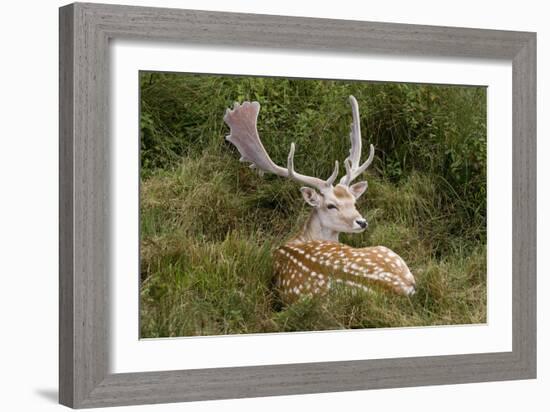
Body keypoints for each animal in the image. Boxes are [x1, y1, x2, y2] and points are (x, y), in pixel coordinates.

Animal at [222, 95, 416, 300]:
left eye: (354, 202)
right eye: (331, 205)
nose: (362, 222)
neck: (299, 238)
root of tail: (400, 287)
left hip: (387, 252)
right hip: (386, 250)